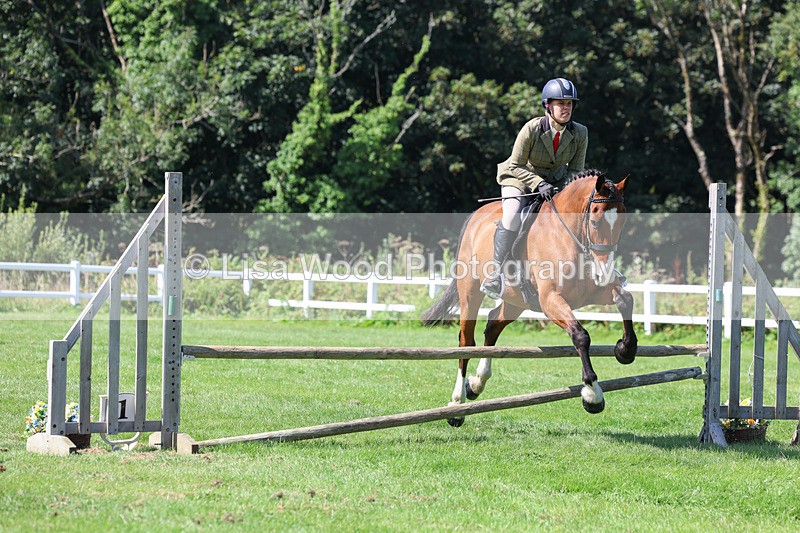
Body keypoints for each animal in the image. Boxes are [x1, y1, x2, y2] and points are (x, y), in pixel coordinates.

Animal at [421, 170, 638, 426]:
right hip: (470, 293)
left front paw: (625, 350)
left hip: (517, 301)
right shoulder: (550, 299)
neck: (570, 236)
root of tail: (476, 216)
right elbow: (580, 335)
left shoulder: (592, 293)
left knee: (493, 324)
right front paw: (592, 395)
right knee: (466, 342)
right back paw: (457, 405)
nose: (603, 273)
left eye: (622, 223)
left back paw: (476, 384)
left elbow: (625, 299)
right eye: (595, 221)